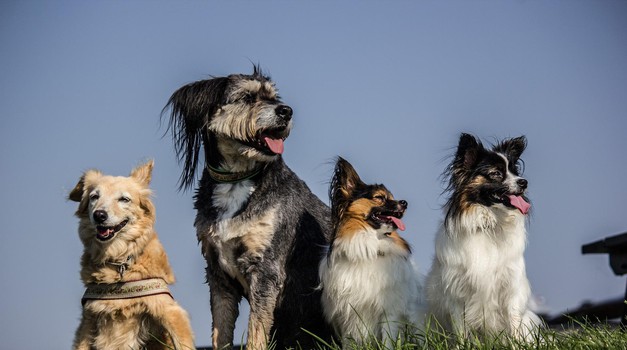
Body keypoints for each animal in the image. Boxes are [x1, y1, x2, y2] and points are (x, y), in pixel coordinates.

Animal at [68, 161, 194, 350]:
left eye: (124, 199)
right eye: (94, 197)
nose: (99, 215)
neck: (118, 260)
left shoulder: (169, 310)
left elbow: (182, 342)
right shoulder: (89, 319)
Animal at [164, 66, 336, 350]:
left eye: (274, 98)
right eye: (246, 97)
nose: (286, 111)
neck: (237, 180)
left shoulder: (266, 269)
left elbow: (257, 331)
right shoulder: (217, 274)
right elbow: (221, 331)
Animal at [322, 158, 424, 348]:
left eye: (392, 197)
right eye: (379, 197)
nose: (405, 203)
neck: (370, 247)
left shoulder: (389, 312)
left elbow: (388, 341)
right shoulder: (348, 313)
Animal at [426, 134, 544, 342]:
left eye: (515, 172)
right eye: (496, 173)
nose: (524, 182)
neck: (489, 224)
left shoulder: (511, 288)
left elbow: (514, 324)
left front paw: (516, 345)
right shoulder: (457, 293)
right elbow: (461, 330)